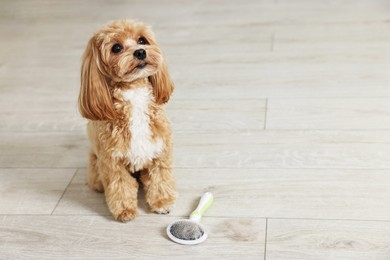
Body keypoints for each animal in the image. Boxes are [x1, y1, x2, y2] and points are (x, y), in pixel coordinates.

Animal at [78, 19, 176, 221]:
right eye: (116, 48)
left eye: (142, 40)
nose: (140, 52)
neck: (135, 93)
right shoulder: (112, 162)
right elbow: (121, 185)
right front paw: (125, 211)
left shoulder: (160, 150)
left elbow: (160, 178)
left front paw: (162, 203)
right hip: (96, 168)